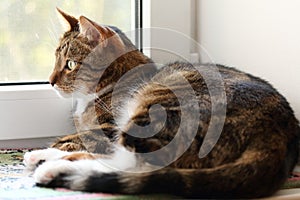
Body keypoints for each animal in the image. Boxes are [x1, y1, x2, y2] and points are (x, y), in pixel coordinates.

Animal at [24, 8, 300, 198]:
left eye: (70, 64)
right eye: (56, 59)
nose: (50, 81)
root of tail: (280, 129)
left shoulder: (108, 127)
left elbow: (79, 140)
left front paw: (54, 148)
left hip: (159, 106)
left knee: (139, 163)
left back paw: (51, 165)